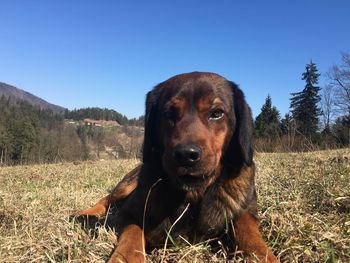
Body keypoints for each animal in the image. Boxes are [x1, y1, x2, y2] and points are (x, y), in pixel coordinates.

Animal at [76, 71, 276, 262]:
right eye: (168, 113)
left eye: (217, 112)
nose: (186, 155)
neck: (192, 197)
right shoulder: (129, 212)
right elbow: (132, 235)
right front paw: (124, 257)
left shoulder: (245, 210)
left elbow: (248, 231)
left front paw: (262, 254)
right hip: (127, 185)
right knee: (107, 198)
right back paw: (87, 214)